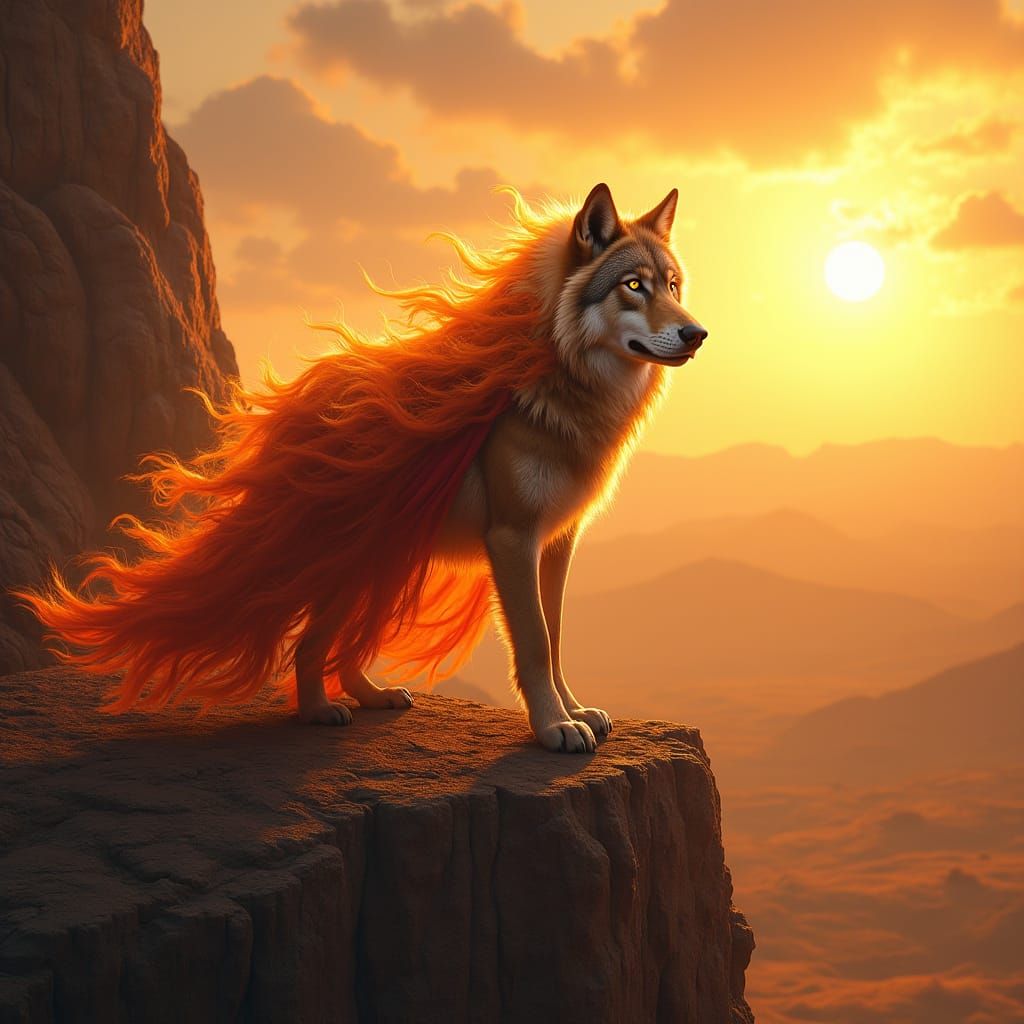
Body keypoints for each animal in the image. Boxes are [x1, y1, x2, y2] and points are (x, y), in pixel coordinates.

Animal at [21, 183, 706, 754]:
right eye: (634, 286)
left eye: (673, 286)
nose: (697, 334)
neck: (567, 385)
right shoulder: (513, 539)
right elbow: (535, 644)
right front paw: (552, 729)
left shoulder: (558, 542)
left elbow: (557, 637)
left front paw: (574, 711)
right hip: (348, 560)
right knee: (307, 643)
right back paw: (318, 711)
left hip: (377, 559)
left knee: (339, 642)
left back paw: (371, 695)